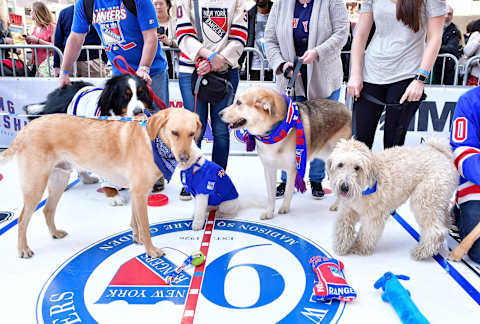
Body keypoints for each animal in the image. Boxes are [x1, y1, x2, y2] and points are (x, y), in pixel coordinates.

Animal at [0, 109, 201, 258]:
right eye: (174, 132)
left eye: (192, 134)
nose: (185, 158)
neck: (154, 142)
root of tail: (25, 129)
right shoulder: (139, 193)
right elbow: (145, 226)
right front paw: (150, 250)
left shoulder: (136, 192)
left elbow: (135, 221)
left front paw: (137, 239)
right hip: (35, 186)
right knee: (22, 219)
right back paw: (23, 249)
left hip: (59, 180)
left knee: (48, 210)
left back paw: (55, 233)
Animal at [326, 138, 458, 260]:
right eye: (340, 164)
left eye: (357, 167)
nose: (344, 187)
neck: (364, 187)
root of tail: (441, 153)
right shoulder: (348, 209)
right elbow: (343, 227)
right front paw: (341, 245)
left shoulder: (374, 216)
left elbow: (367, 233)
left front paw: (359, 247)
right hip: (439, 201)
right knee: (444, 223)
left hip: (424, 200)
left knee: (436, 231)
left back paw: (422, 252)